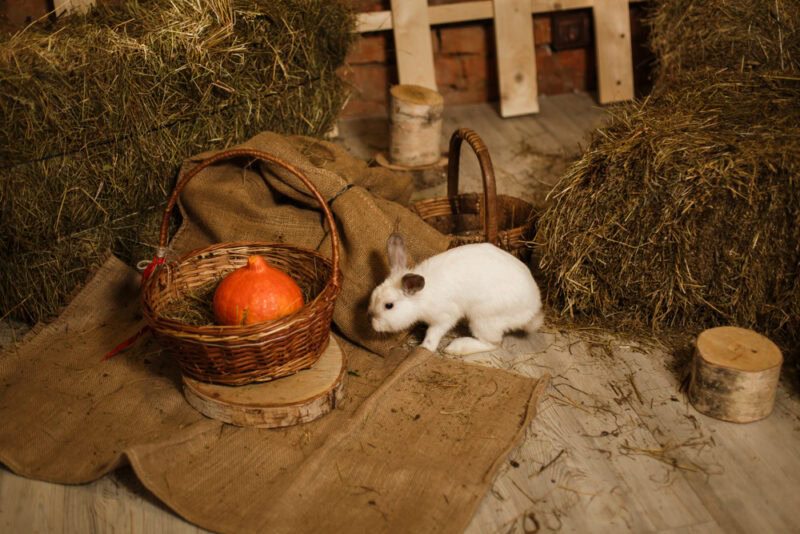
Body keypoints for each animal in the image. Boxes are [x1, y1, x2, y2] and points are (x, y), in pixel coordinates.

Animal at [368, 233, 544, 355]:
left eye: (389, 306)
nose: (373, 325)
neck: (421, 297)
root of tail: (533, 310)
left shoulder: (444, 317)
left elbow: (433, 334)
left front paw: (424, 347)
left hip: (483, 319)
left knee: (493, 343)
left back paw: (455, 348)